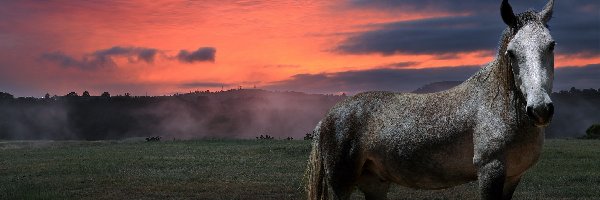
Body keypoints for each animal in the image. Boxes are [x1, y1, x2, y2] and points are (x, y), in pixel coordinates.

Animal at [308, 0, 556, 199]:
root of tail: (326, 119)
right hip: (342, 184)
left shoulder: (512, 177)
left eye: (551, 45)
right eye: (511, 52)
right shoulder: (490, 172)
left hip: (374, 184)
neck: (498, 107)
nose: (540, 109)